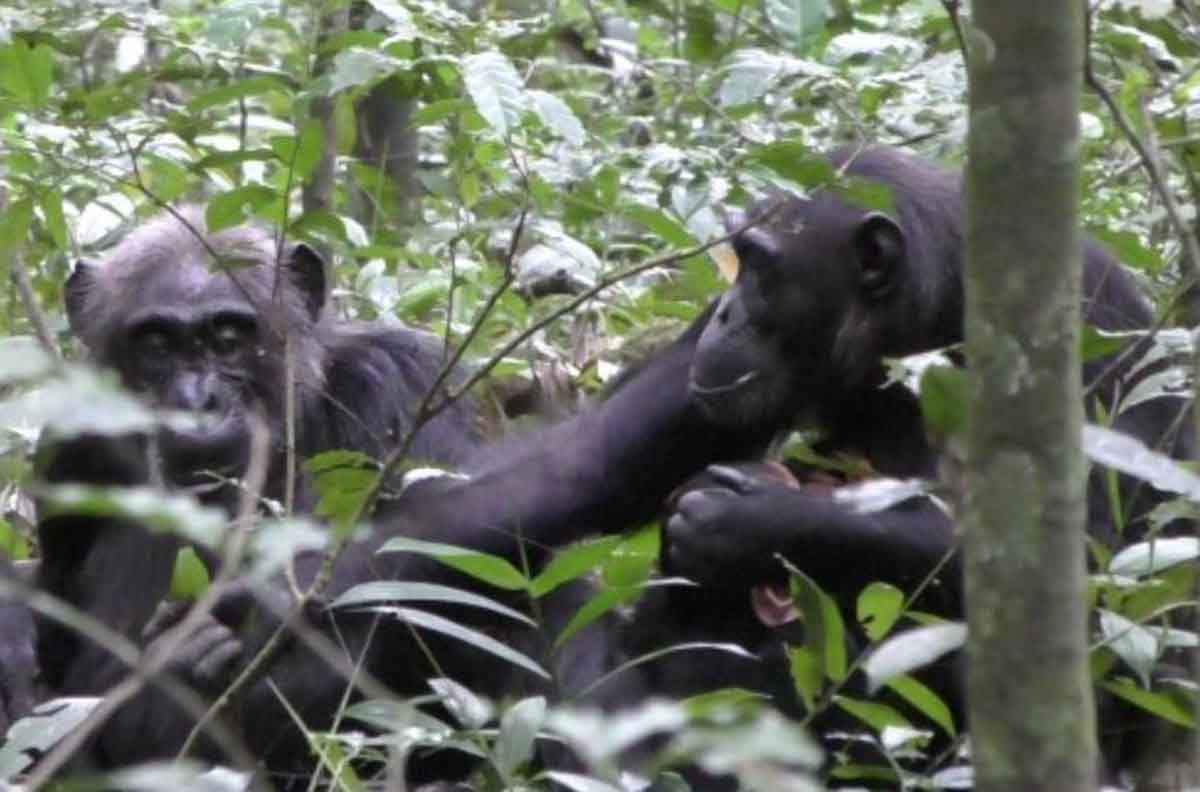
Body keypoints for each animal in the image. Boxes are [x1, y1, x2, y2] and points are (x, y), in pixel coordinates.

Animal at [657, 145, 1190, 777]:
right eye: (739, 258)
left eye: (761, 267)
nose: (724, 312)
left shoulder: (1082, 331)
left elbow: (1100, 566)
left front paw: (748, 522)